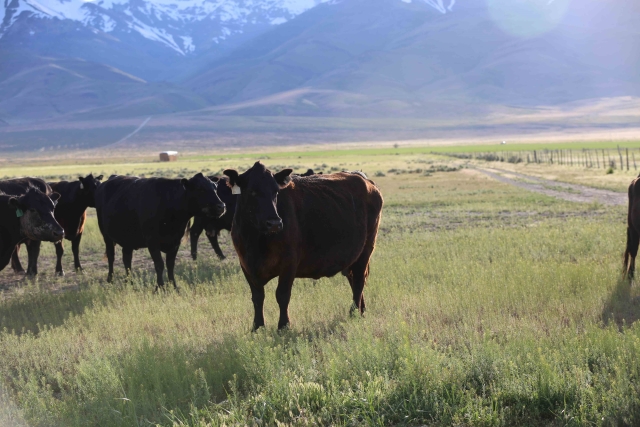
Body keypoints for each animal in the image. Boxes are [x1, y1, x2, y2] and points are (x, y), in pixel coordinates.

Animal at [95, 173, 226, 291]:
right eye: (200, 189)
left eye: (215, 188)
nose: (221, 206)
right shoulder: (152, 242)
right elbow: (159, 265)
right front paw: (160, 287)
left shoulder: (175, 242)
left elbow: (170, 264)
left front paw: (174, 286)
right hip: (106, 236)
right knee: (111, 256)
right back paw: (110, 280)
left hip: (128, 240)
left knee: (127, 259)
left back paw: (130, 282)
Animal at [223, 162, 383, 331]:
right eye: (252, 191)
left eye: (276, 192)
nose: (274, 223)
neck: (256, 240)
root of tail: (366, 181)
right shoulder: (246, 265)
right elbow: (257, 297)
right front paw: (257, 327)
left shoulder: (289, 263)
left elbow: (282, 295)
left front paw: (283, 326)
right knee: (354, 279)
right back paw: (361, 311)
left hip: (366, 249)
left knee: (359, 280)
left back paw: (353, 313)